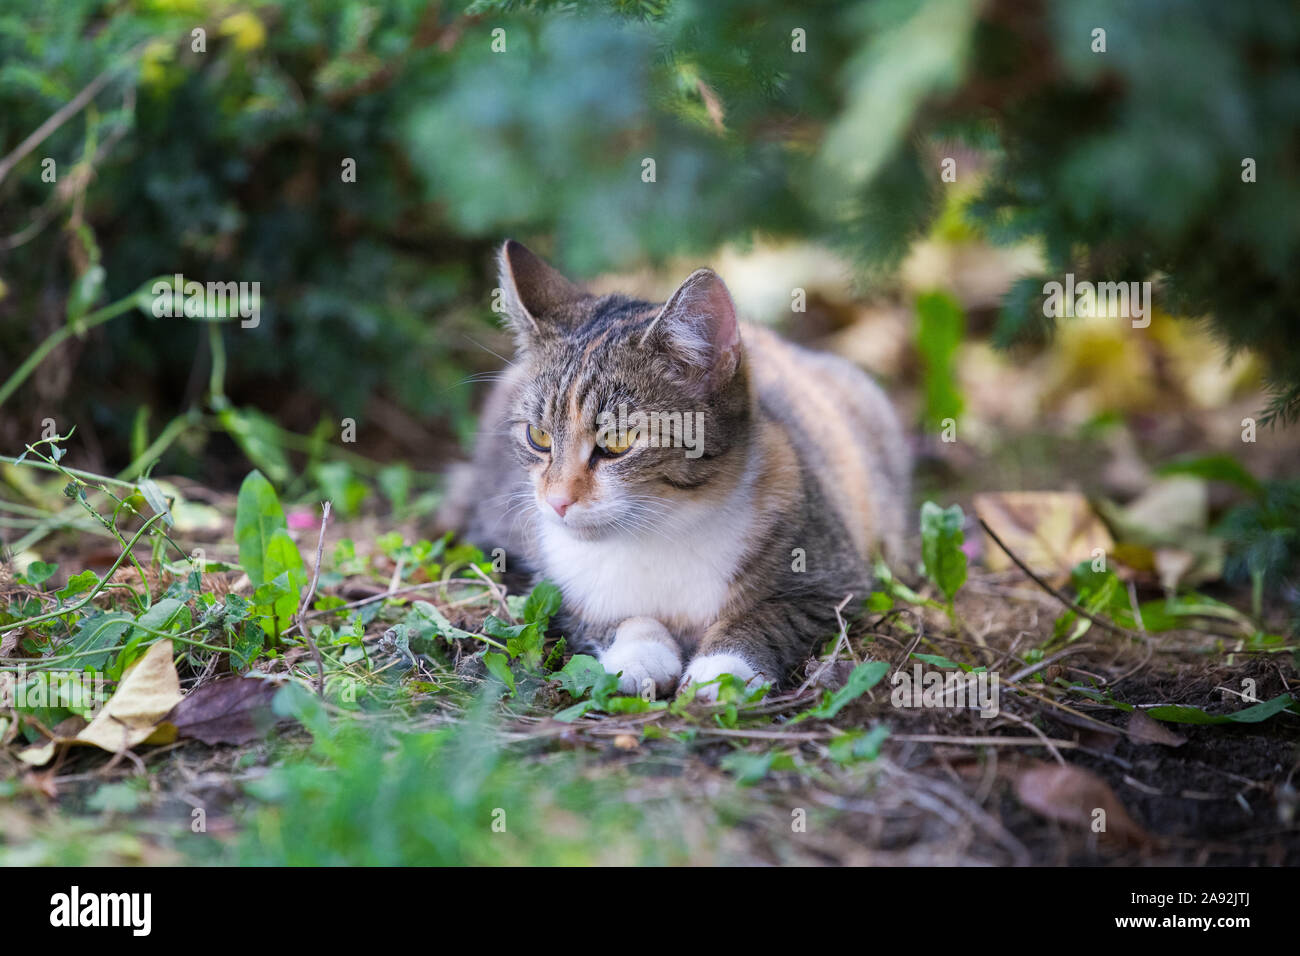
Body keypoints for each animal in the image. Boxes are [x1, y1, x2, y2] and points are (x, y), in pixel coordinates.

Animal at [441, 239, 909, 702]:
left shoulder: (832, 576)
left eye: (618, 441)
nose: (557, 501)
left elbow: (774, 615)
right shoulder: (551, 577)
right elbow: (603, 614)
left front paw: (724, 667)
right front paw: (640, 651)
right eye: (538, 435)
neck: (662, 527)